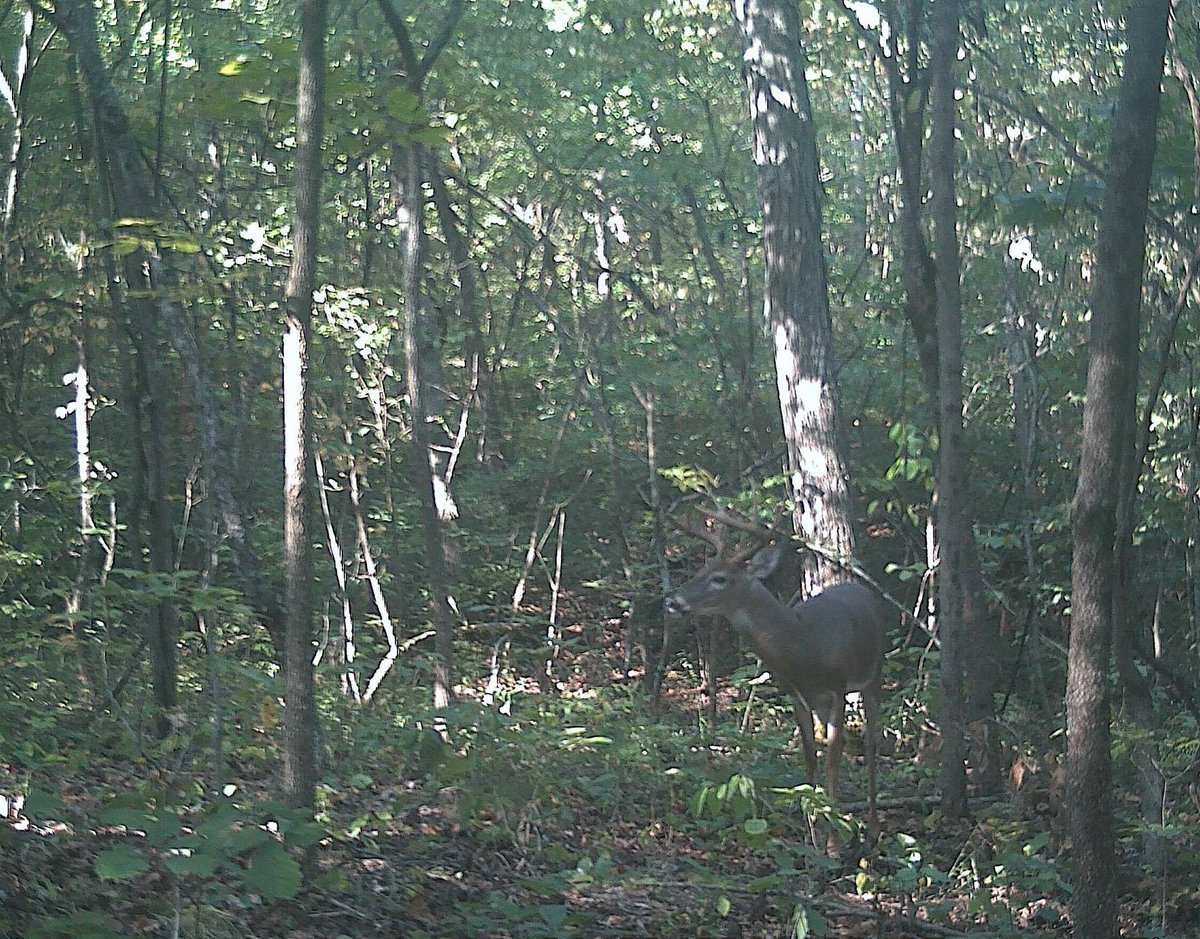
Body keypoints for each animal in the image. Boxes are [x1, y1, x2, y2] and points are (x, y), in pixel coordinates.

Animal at [663, 507, 887, 825]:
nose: (673, 601)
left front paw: (834, 830)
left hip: (873, 673)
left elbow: (832, 762)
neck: (805, 646)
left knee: (871, 744)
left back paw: (874, 826)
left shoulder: (838, 687)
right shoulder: (798, 695)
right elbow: (809, 761)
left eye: (719, 578)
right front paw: (813, 827)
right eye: (700, 571)